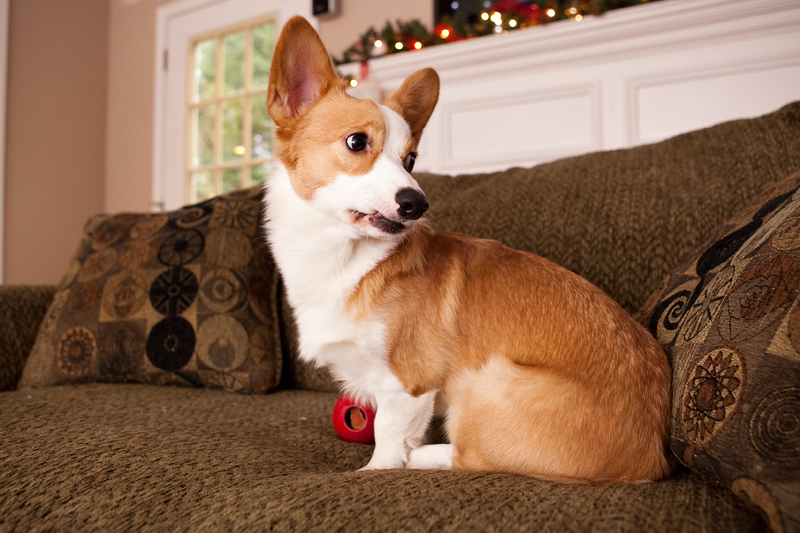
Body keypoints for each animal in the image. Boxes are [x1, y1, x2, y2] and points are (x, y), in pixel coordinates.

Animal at [266, 16, 672, 482]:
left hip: (486, 381)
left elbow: (388, 438)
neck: (342, 255)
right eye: (356, 142)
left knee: (468, 456)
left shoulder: (407, 383)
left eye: (410, 160)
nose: (418, 203)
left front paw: (379, 470)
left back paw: (423, 458)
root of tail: (650, 460)